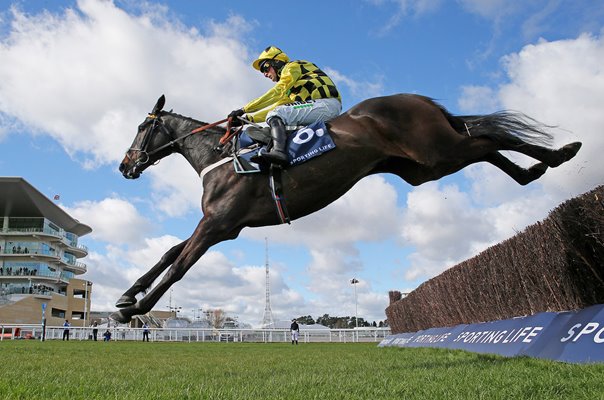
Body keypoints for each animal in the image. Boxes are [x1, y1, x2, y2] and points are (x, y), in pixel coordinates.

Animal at [113, 93, 580, 322]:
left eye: (140, 126)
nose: (124, 165)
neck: (223, 155)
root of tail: (420, 98)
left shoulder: (219, 224)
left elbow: (179, 265)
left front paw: (136, 309)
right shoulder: (219, 224)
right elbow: (168, 253)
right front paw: (127, 293)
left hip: (436, 150)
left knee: (488, 139)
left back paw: (560, 153)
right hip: (424, 167)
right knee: (486, 148)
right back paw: (535, 169)